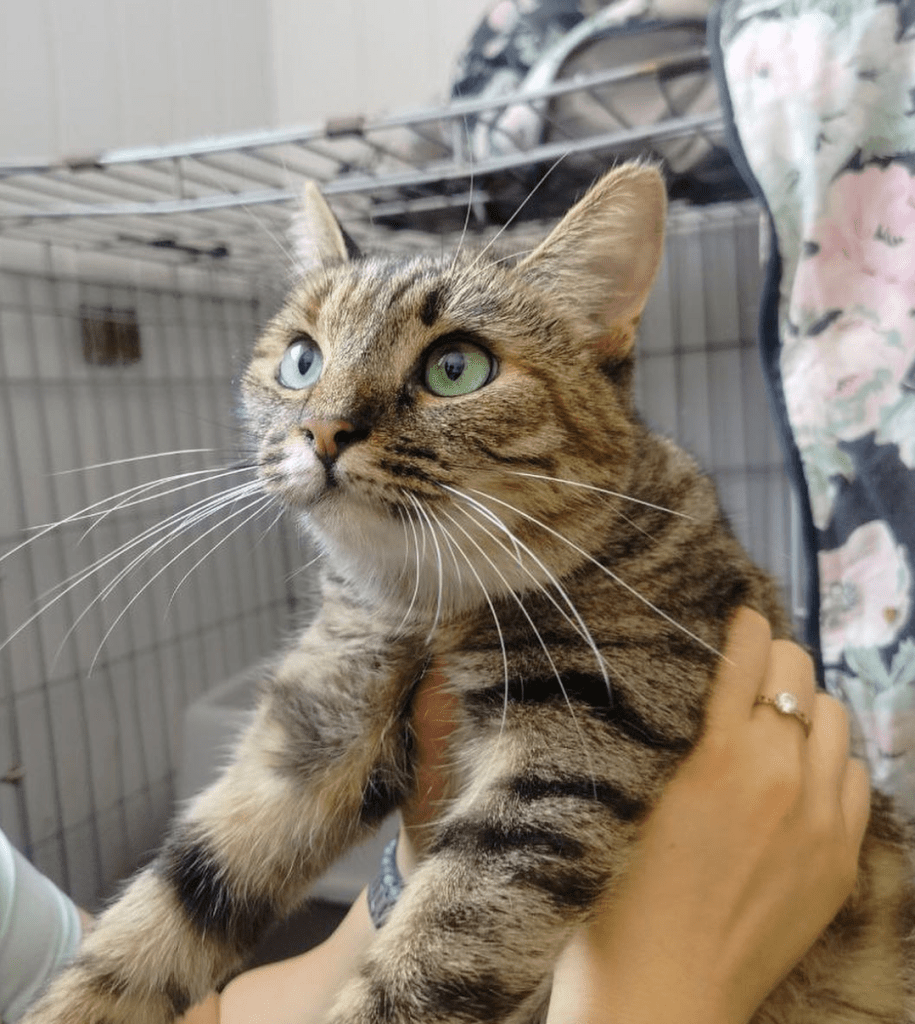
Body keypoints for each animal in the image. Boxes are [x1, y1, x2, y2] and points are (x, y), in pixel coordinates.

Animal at [21, 163, 915, 1019]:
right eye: (301, 359)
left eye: (456, 368)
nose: (322, 430)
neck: (427, 611)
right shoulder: (308, 735)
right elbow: (156, 920)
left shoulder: (569, 756)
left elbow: (429, 963)